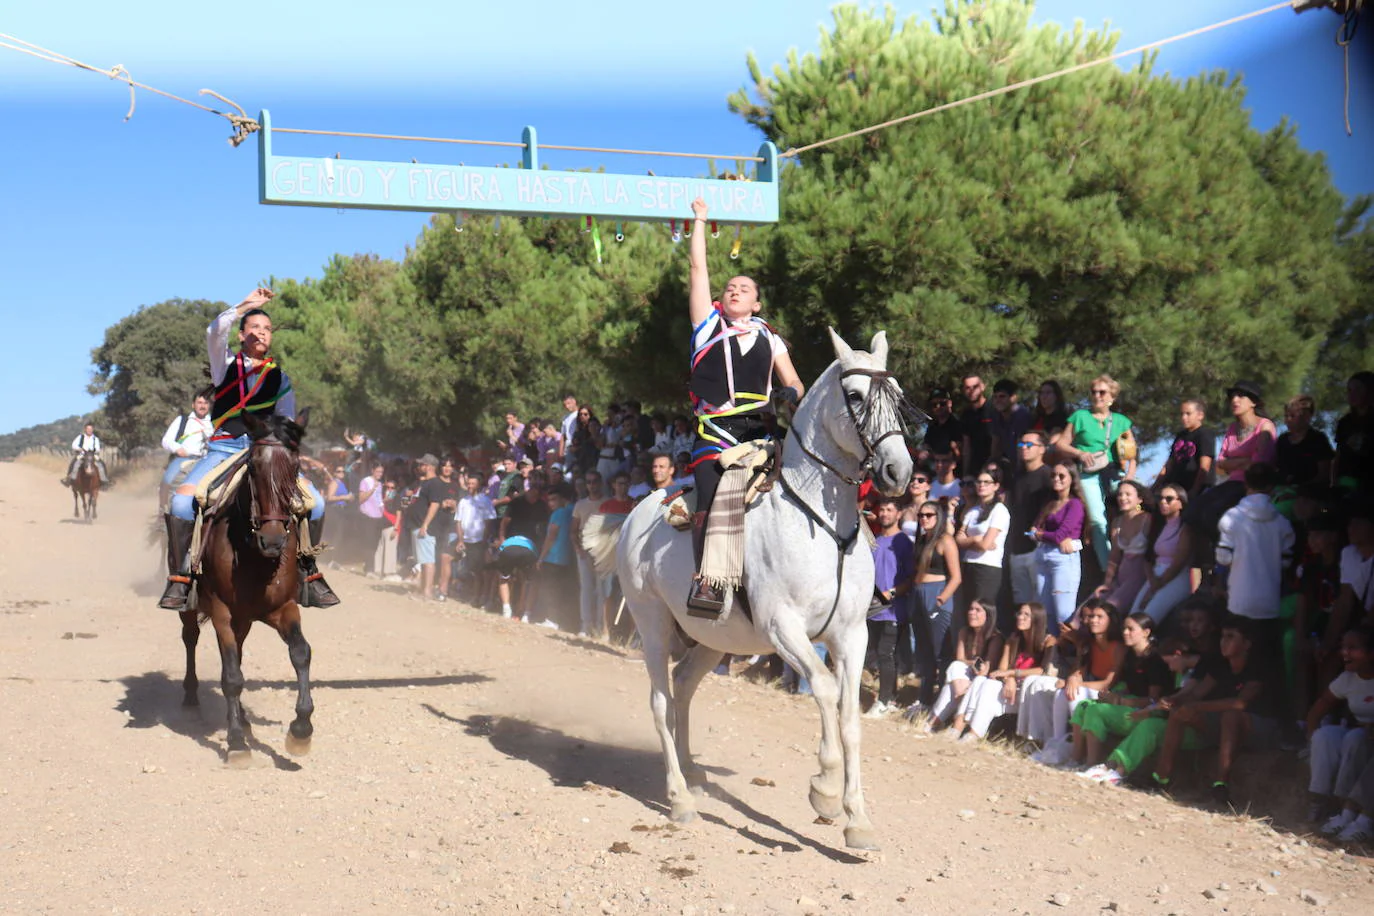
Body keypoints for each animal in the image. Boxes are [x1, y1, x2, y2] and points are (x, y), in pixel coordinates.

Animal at [177, 409, 314, 769]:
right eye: (252, 466)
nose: (273, 540)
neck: (253, 557)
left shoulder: (283, 608)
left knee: (237, 651)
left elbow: (301, 653)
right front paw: (237, 742)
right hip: (196, 609)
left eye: (296, 465)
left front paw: (300, 731)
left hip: (245, 620)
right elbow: (231, 677)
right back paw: (191, 698)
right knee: (191, 639)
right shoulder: (222, 612)